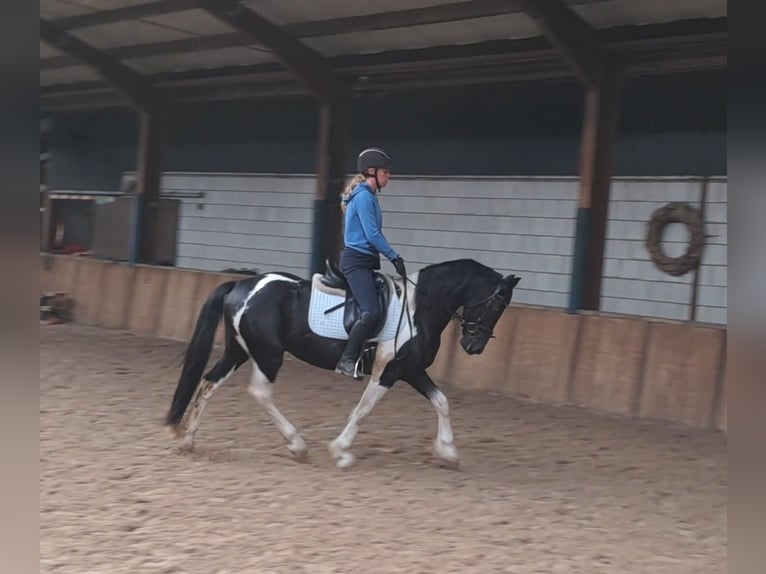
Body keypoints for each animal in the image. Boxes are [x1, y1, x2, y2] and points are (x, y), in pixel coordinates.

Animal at [162, 258, 520, 470]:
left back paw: (189, 440)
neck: (419, 307)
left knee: (209, 382)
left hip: (239, 351)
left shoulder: (411, 370)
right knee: (260, 392)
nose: (473, 347)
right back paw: (297, 445)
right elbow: (362, 410)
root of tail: (241, 284)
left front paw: (448, 453)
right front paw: (341, 451)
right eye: (497, 305)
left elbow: (442, 401)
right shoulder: (389, 371)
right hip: (267, 354)